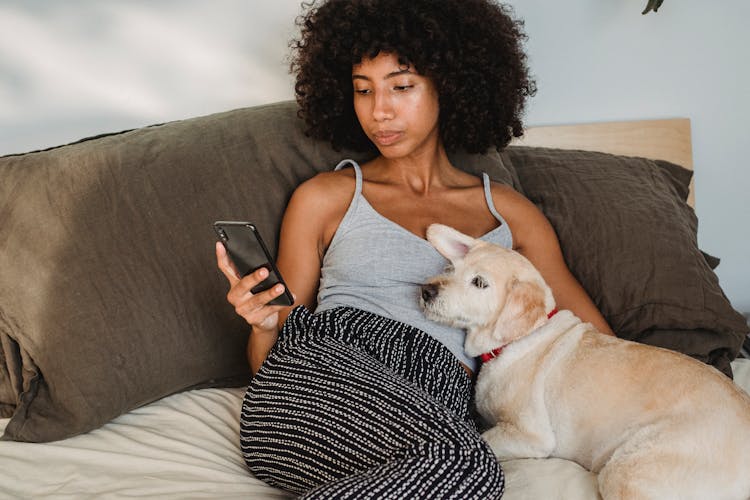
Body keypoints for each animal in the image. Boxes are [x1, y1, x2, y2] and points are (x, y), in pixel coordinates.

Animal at [420, 224, 750, 500]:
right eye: (451, 268)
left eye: (479, 283)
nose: (425, 291)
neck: (518, 338)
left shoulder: (531, 437)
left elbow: (485, 436)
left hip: (627, 471)